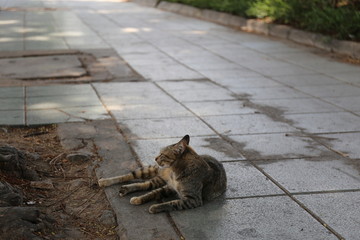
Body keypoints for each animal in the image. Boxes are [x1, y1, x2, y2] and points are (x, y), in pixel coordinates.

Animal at [97, 135, 228, 214]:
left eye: (162, 154)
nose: (155, 158)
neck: (175, 172)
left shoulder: (192, 199)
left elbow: (172, 203)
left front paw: (154, 206)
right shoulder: (170, 187)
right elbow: (152, 193)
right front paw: (140, 199)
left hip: (158, 178)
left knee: (145, 184)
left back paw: (125, 189)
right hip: (153, 171)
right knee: (131, 176)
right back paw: (105, 181)